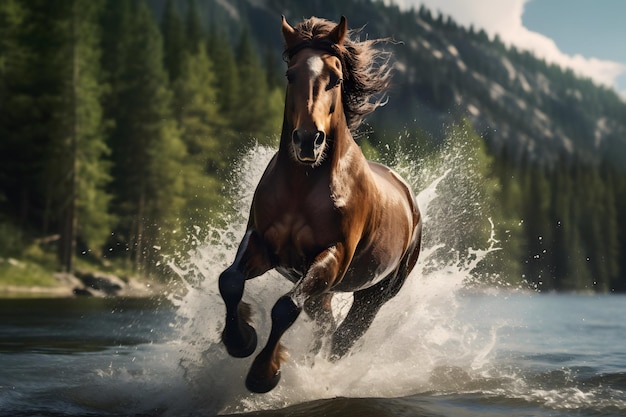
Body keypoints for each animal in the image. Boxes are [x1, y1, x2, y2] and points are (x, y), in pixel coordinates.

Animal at [217, 15, 422, 394]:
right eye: (290, 74)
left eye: (336, 79)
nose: (308, 140)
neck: (303, 186)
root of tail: (409, 199)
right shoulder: (263, 243)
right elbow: (231, 281)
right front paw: (241, 339)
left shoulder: (332, 257)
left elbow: (285, 307)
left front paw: (264, 374)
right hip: (321, 291)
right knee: (326, 326)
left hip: (373, 294)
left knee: (343, 336)